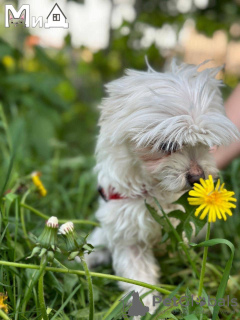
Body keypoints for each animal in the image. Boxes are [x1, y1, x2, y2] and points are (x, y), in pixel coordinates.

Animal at [86, 59, 238, 312]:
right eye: (167, 145)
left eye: (206, 143)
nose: (197, 177)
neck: (158, 191)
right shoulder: (129, 235)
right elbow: (138, 279)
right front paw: (145, 306)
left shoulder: (185, 231)